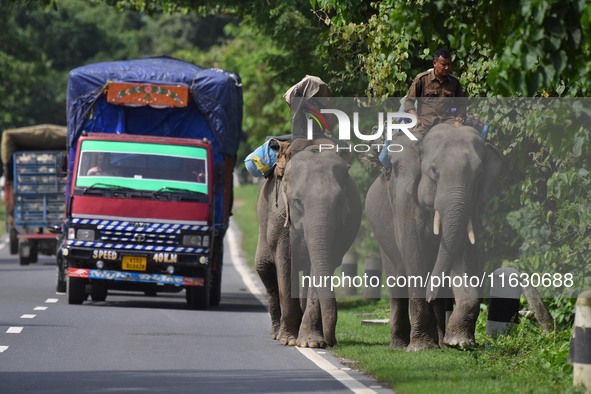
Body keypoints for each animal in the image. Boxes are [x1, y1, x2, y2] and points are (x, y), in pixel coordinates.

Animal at [256, 148, 364, 348]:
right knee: (264, 268)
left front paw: (311, 343)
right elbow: (284, 262)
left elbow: (321, 268)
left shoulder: (341, 230)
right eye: (298, 201)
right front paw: (289, 339)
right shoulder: (279, 218)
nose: (332, 342)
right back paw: (276, 333)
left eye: (339, 201)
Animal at [368, 124, 502, 350]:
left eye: (479, 173)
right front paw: (421, 348)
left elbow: (463, 257)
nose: (431, 294)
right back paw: (399, 345)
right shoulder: (405, 202)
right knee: (397, 282)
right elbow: (415, 257)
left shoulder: (472, 209)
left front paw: (459, 342)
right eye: (434, 171)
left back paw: (441, 342)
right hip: (382, 239)